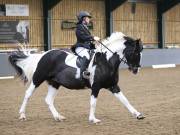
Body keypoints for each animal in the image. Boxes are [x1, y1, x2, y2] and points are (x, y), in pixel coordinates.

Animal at [8, 31, 145, 123]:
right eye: (135, 53)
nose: (136, 70)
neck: (106, 61)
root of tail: (44, 54)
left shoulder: (113, 86)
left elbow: (125, 100)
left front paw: (138, 114)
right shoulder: (96, 87)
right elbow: (93, 102)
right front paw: (93, 119)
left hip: (54, 83)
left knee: (48, 100)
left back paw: (58, 117)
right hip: (38, 78)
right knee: (28, 94)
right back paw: (22, 115)